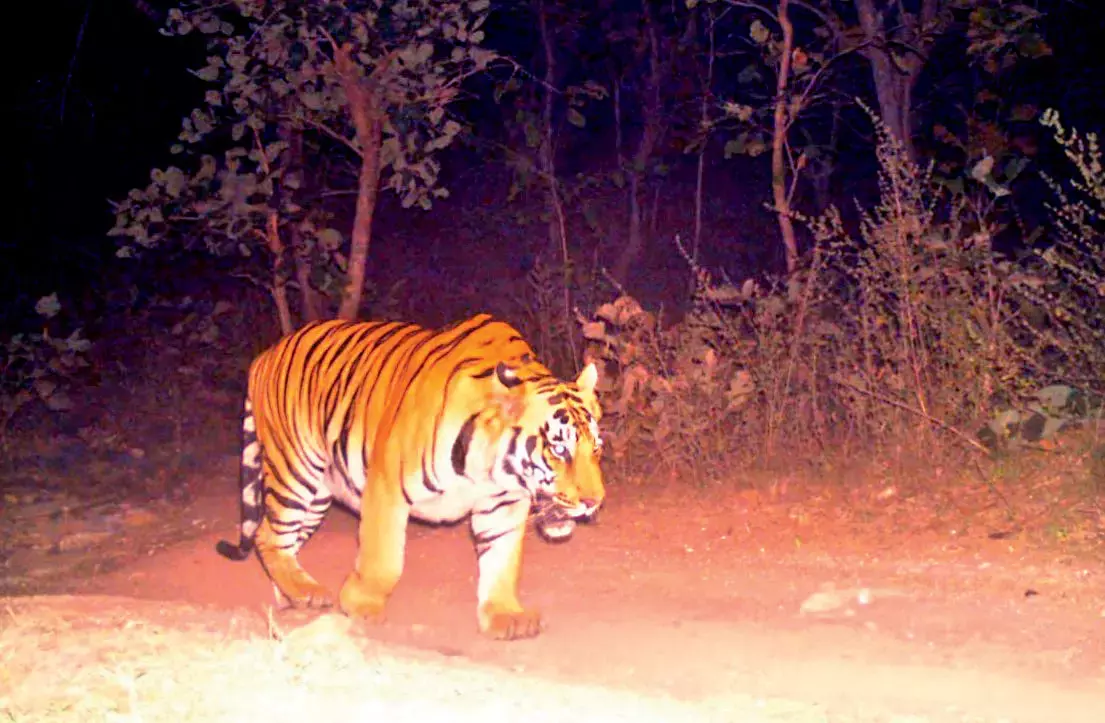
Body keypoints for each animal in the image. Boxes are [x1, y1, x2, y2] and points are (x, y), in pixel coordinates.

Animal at [216, 313, 605, 640]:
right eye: (559, 449)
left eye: (596, 449)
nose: (594, 502)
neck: (491, 470)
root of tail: (265, 355)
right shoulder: (386, 487)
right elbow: (384, 558)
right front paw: (360, 604)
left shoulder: (503, 505)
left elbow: (502, 560)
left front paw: (505, 615)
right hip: (295, 471)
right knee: (268, 535)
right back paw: (307, 593)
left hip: (318, 494)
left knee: (282, 540)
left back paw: (293, 595)